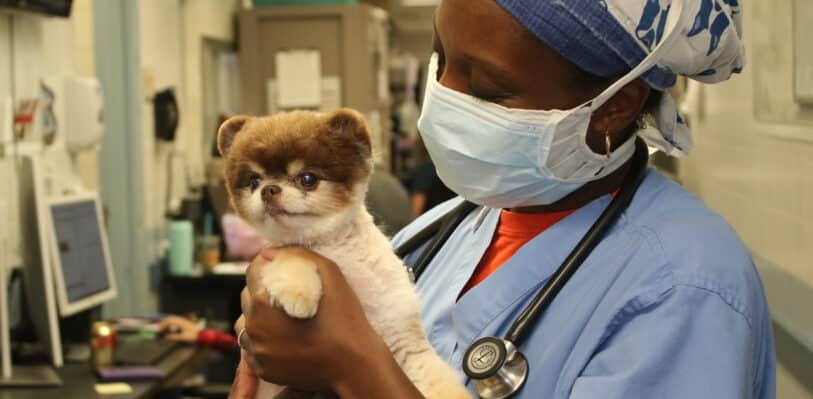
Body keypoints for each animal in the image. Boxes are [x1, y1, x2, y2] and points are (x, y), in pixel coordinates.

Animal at [217, 109, 470, 399]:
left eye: (307, 179)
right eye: (253, 181)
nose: (268, 190)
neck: (336, 248)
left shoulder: (404, 339)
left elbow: (438, 379)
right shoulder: (282, 252)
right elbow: (293, 256)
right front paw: (298, 293)